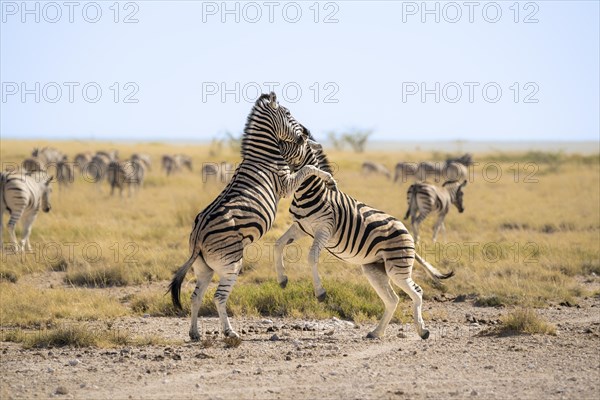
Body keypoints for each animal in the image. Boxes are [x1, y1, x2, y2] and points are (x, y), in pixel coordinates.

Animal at [169, 93, 338, 340]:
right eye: (289, 113)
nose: (306, 132)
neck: (264, 155)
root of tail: (198, 236)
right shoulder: (285, 184)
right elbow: (308, 168)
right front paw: (329, 179)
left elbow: (307, 167)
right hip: (231, 263)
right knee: (219, 297)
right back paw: (229, 333)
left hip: (203, 268)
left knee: (196, 296)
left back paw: (195, 333)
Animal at [274, 133, 452, 340]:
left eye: (298, 140)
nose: (277, 144)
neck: (309, 192)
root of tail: (406, 232)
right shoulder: (301, 227)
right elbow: (278, 244)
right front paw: (282, 279)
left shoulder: (324, 228)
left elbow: (311, 257)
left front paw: (320, 292)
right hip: (374, 268)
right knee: (392, 299)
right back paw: (377, 332)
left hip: (396, 267)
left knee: (417, 292)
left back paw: (422, 331)